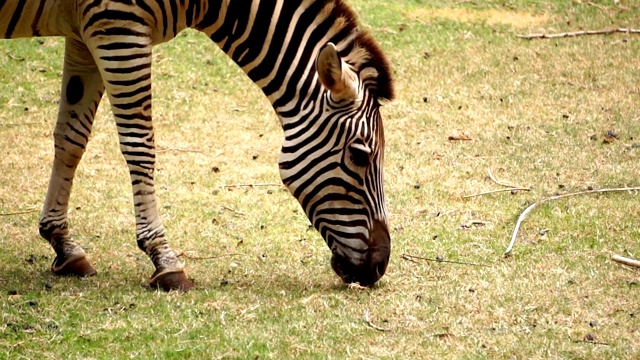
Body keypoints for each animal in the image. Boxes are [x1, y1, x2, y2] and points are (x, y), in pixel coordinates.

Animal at [1, 0, 396, 292]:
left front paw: (62, 244)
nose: (379, 266)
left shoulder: (86, 32)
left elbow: (71, 138)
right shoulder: (118, 26)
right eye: (359, 155)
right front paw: (163, 258)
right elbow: (140, 144)